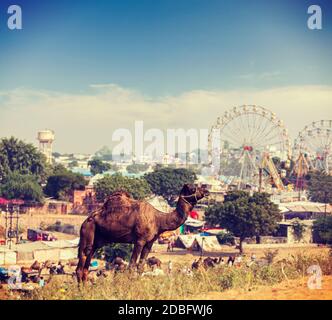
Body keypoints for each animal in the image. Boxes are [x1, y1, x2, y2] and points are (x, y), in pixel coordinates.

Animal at [76, 184, 209, 282]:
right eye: (193, 188)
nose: (206, 190)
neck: (159, 220)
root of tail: (85, 221)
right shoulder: (140, 240)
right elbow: (131, 265)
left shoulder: (149, 242)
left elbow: (141, 266)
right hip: (87, 232)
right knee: (82, 261)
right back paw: (81, 291)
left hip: (96, 241)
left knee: (86, 264)